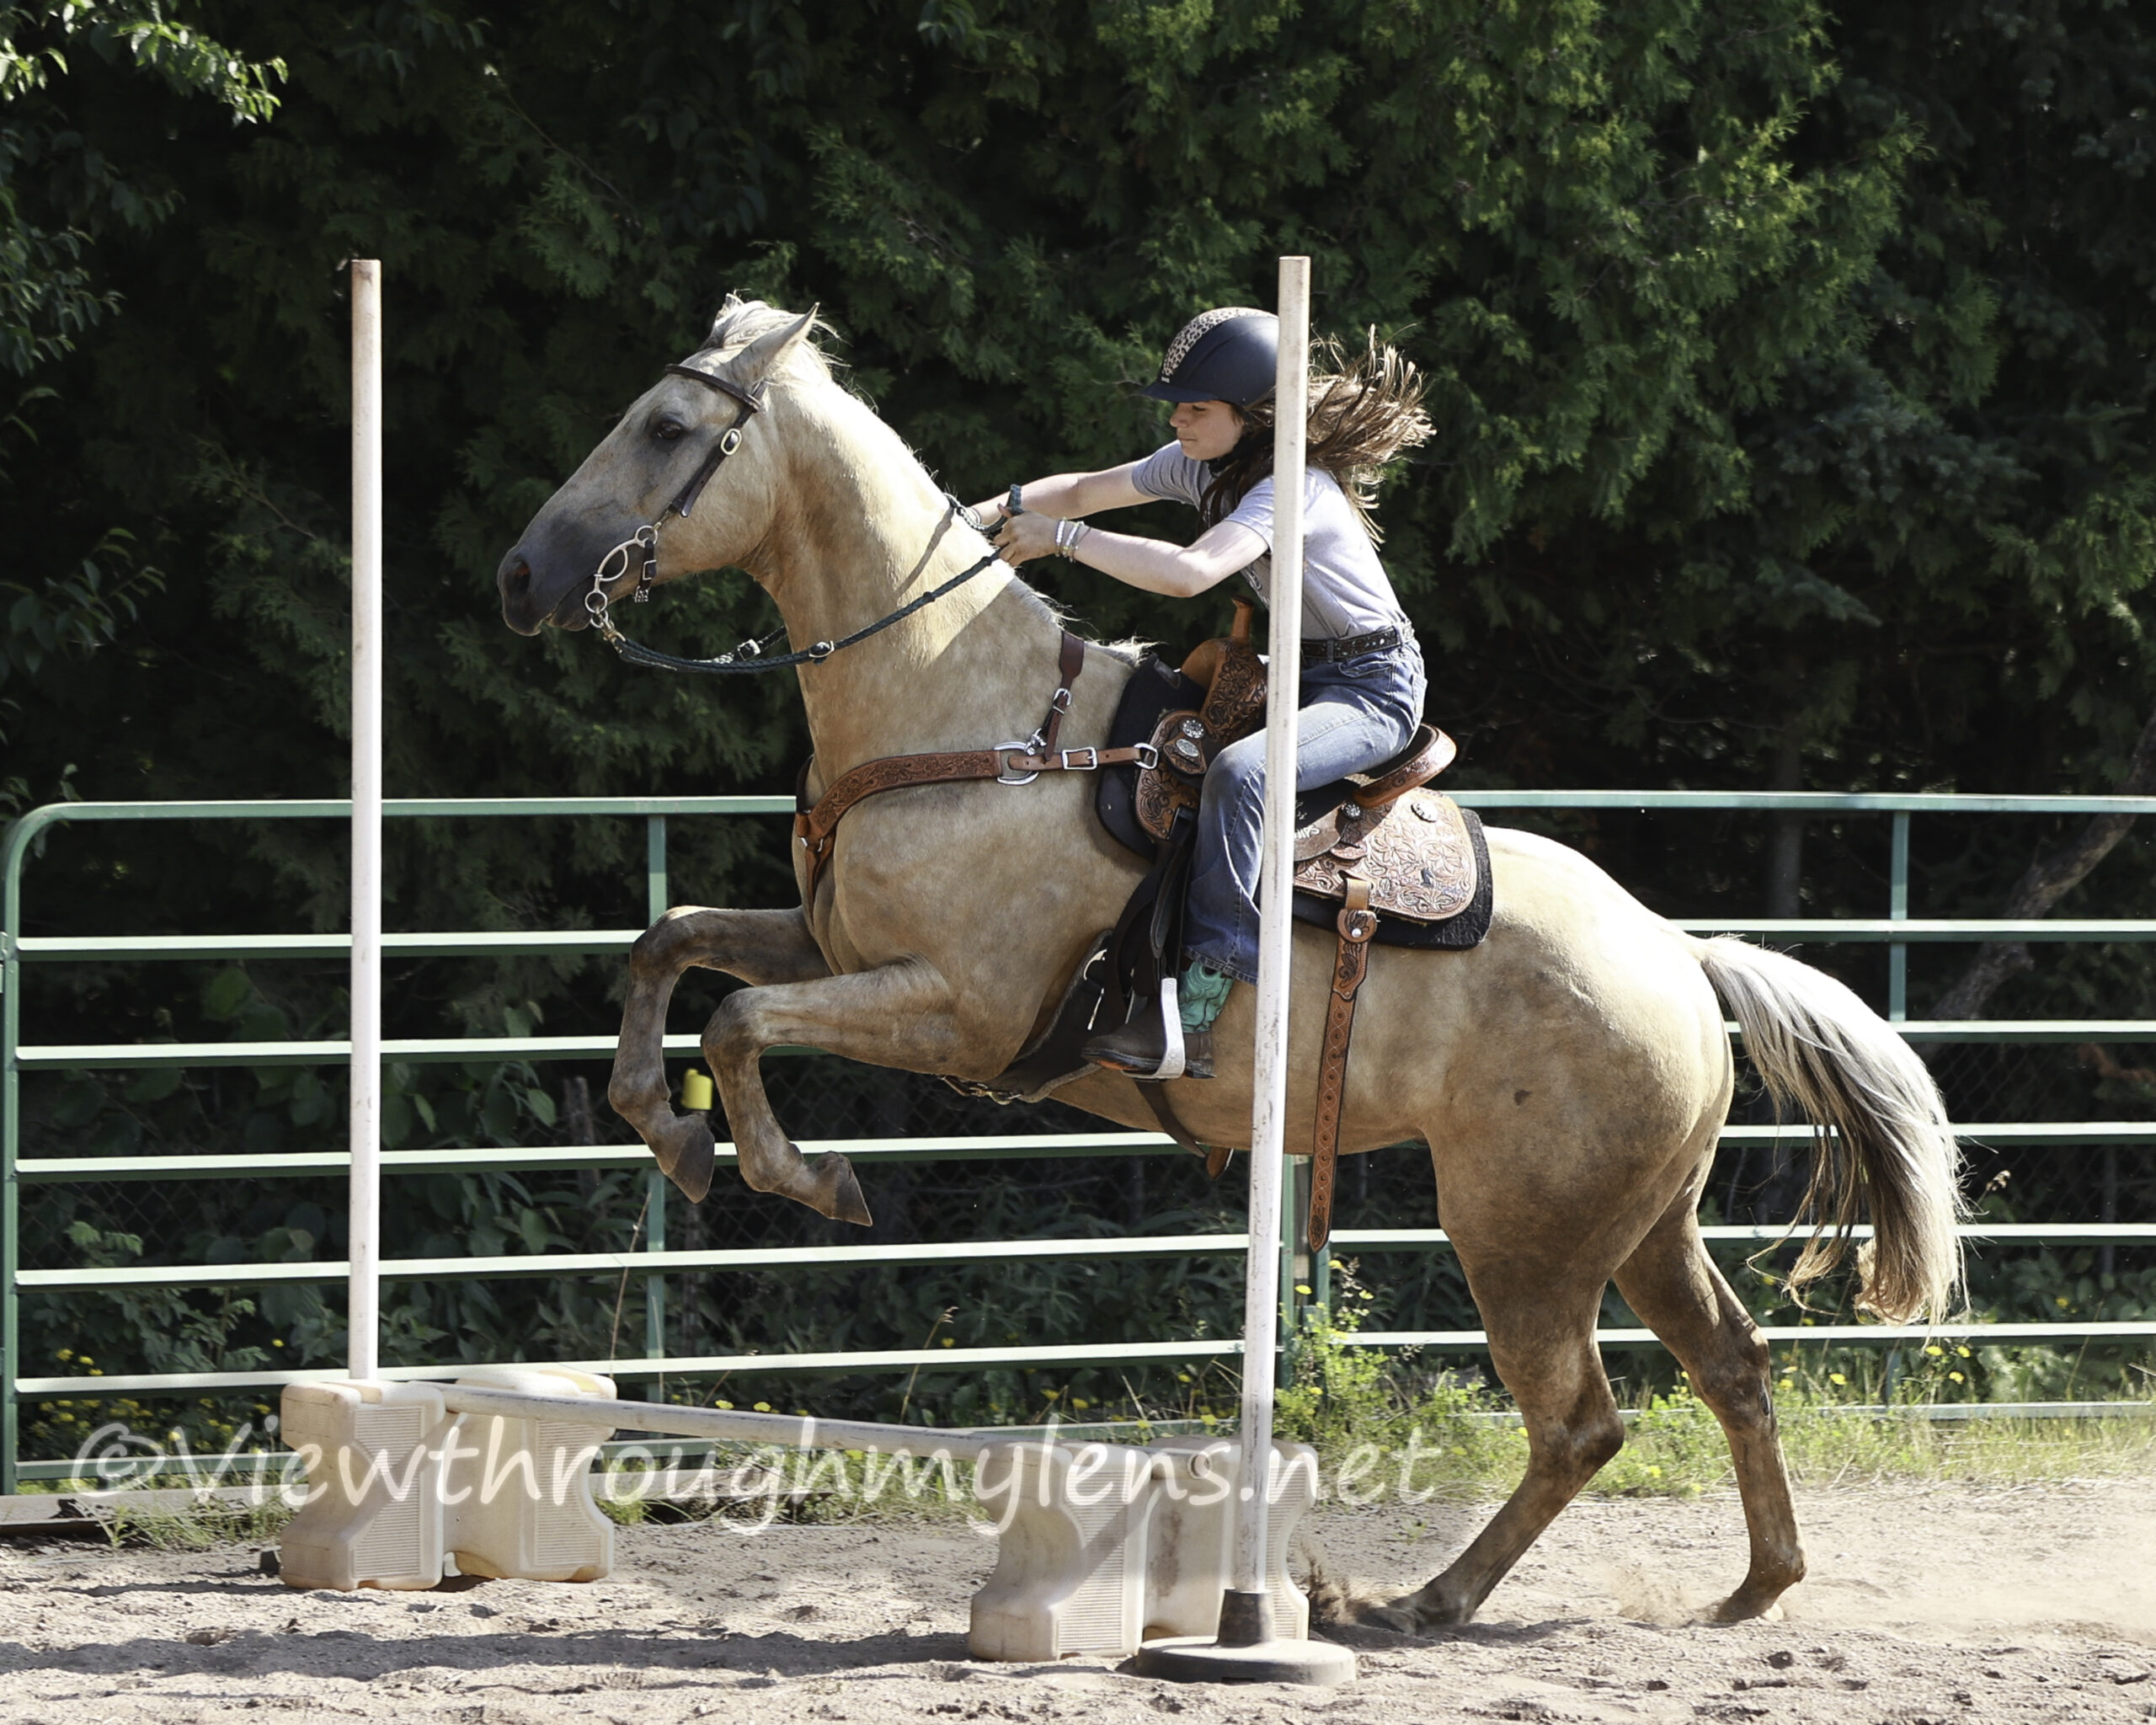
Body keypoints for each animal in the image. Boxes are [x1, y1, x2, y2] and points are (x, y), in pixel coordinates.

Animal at [495, 299, 1966, 1630]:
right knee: (1734, 1366)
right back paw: (1753, 1587)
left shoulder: (960, 1017)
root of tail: (1681, 959)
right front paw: (664, 1128)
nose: (522, 574)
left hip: (1527, 1243)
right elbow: (673, 947)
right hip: (1641, 1225)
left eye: (668, 426)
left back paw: (1416, 1602)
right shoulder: (838, 945)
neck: (978, 719)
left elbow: (739, 1019)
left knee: (1581, 1424)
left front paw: (800, 1175)